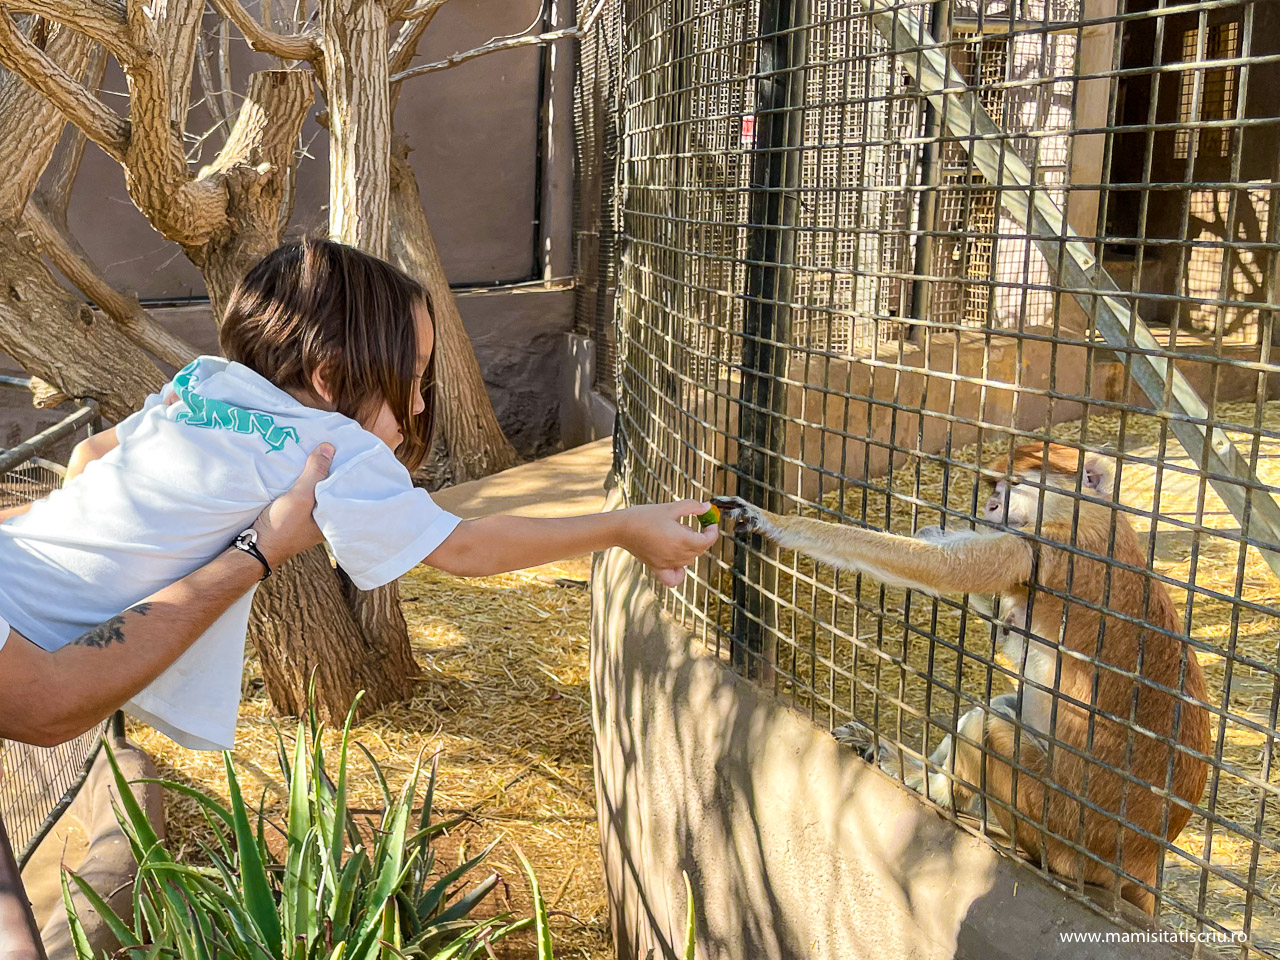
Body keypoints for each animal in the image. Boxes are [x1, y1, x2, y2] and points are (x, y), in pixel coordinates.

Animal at [711, 448, 1208, 911]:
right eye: (995, 485)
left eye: (1013, 485)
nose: (990, 504)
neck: (1093, 514)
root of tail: (1142, 857)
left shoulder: (1041, 546)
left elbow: (943, 569)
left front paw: (770, 521)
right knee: (1003, 707)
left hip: (1061, 830)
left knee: (985, 725)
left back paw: (929, 787)